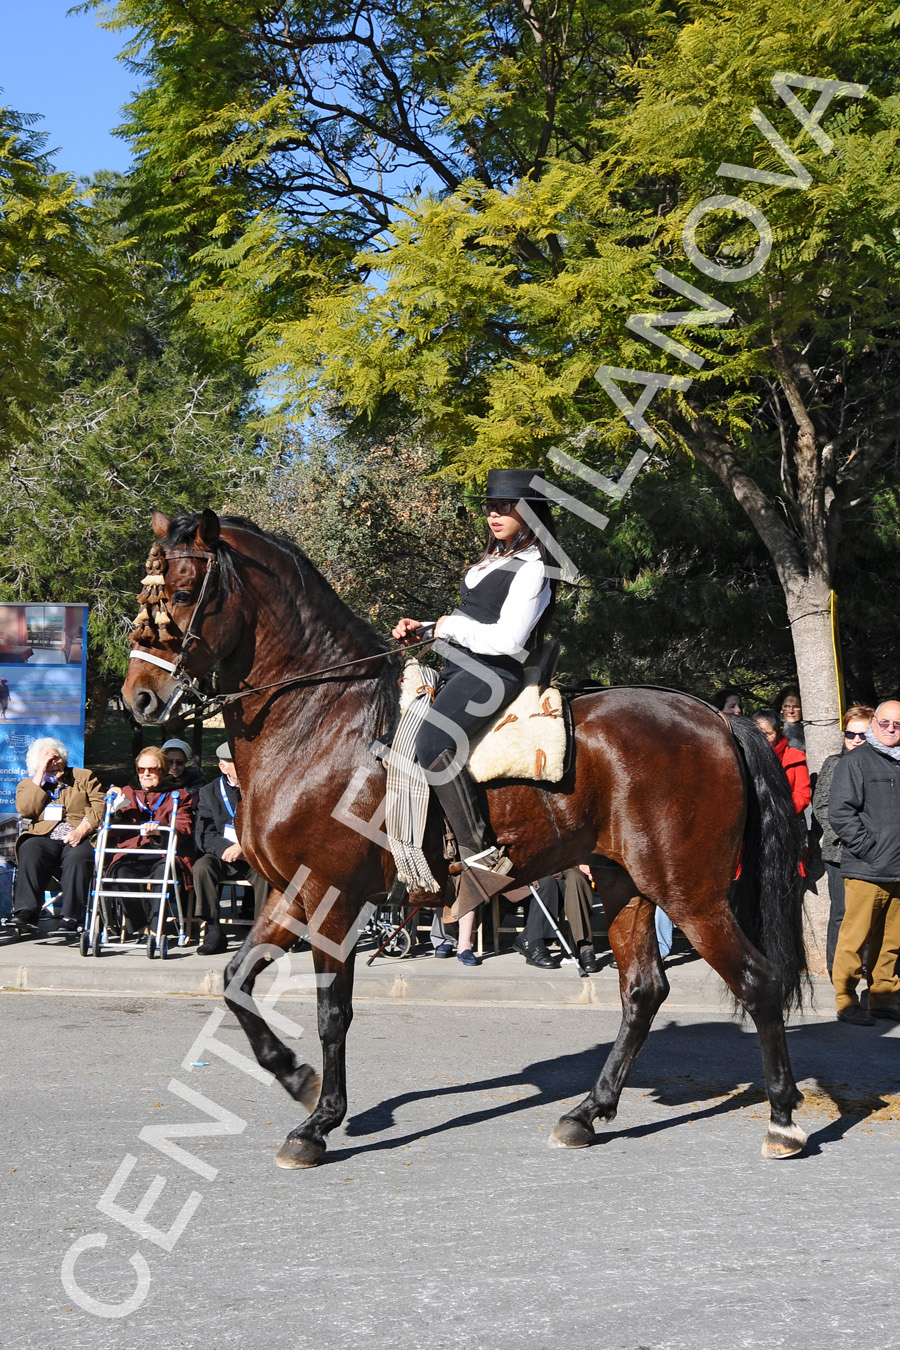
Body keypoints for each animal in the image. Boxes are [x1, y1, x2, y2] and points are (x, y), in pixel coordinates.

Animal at [121, 510, 809, 1166]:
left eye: (182, 592)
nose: (141, 698)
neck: (321, 723)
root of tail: (718, 718)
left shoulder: (329, 896)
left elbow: (329, 1012)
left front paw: (314, 1114)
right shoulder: (296, 894)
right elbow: (239, 980)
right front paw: (304, 1088)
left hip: (691, 891)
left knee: (757, 981)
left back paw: (782, 1121)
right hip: (626, 884)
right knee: (643, 991)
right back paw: (587, 1114)